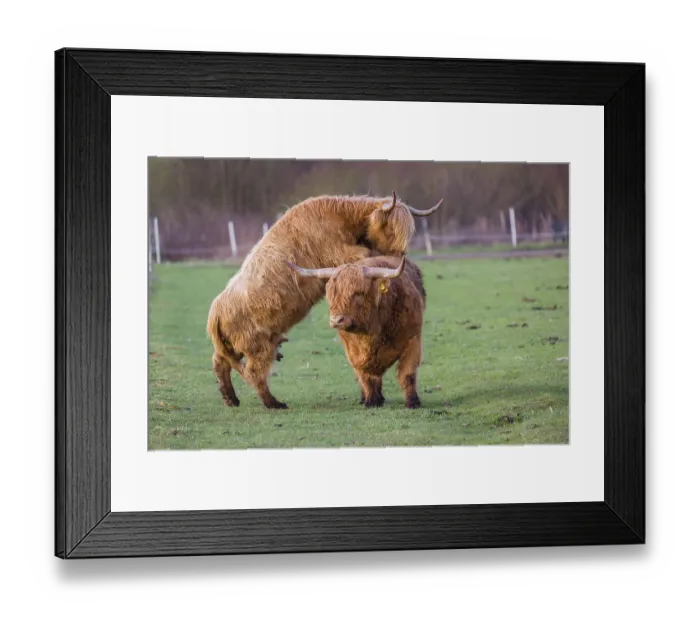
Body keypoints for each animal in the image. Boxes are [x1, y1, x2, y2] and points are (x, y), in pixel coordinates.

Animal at [286, 255, 426, 409]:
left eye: (358, 293)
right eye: (330, 294)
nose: (336, 320)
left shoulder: (413, 340)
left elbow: (408, 374)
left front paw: (413, 402)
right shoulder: (353, 352)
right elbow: (365, 376)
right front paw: (371, 401)